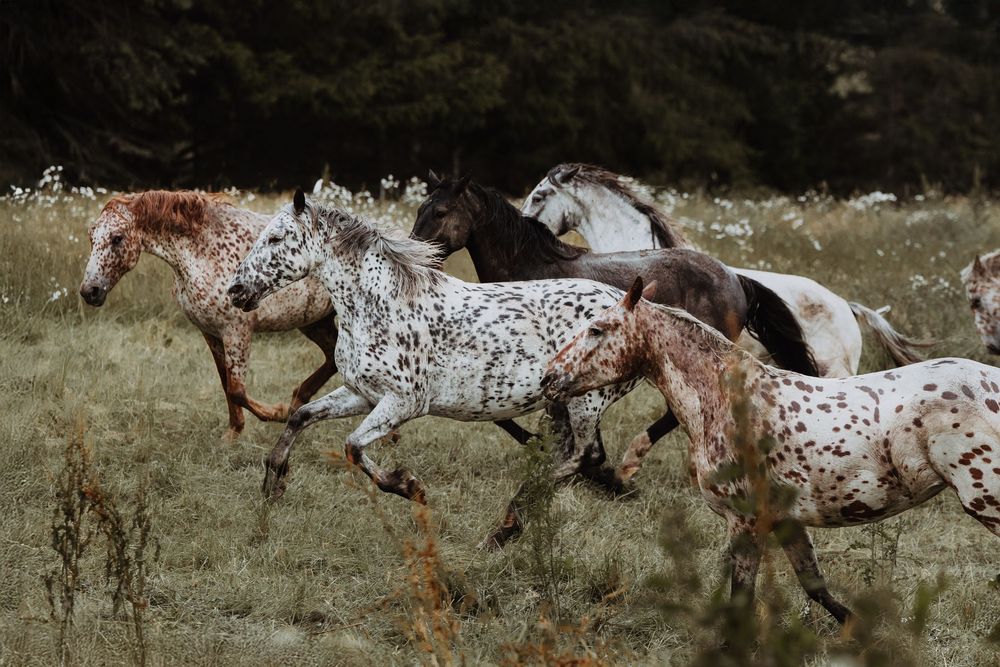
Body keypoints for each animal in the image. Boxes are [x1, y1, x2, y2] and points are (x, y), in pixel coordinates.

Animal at [80, 190, 338, 439]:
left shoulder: (237, 331)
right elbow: (226, 385)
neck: (204, 251)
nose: (89, 291)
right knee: (332, 357)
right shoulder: (211, 332)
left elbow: (237, 390)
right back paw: (297, 400)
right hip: (315, 322)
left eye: (117, 238)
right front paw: (233, 433)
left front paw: (277, 412)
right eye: (91, 238)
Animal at [227, 190, 684, 547]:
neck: (381, 304)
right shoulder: (363, 393)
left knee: (585, 455)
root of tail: (639, 308)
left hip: (586, 399)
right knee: (571, 455)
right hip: (566, 402)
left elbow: (353, 446)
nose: (235, 291)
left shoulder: (403, 402)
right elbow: (301, 417)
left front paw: (409, 487)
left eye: (277, 237)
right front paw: (274, 483)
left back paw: (507, 525)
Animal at [411, 173, 818, 487]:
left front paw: (569, 459)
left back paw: (629, 465)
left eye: (441, 212)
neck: (532, 269)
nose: (417, 254)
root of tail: (735, 278)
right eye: (419, 209)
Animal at [542, 277, 1000, 624]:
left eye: (597, 329)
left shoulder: (744, 522)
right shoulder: (786, 521)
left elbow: (741, 601)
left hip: (986, 501)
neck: (729, 399)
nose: (549, 378)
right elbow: (817, 589)